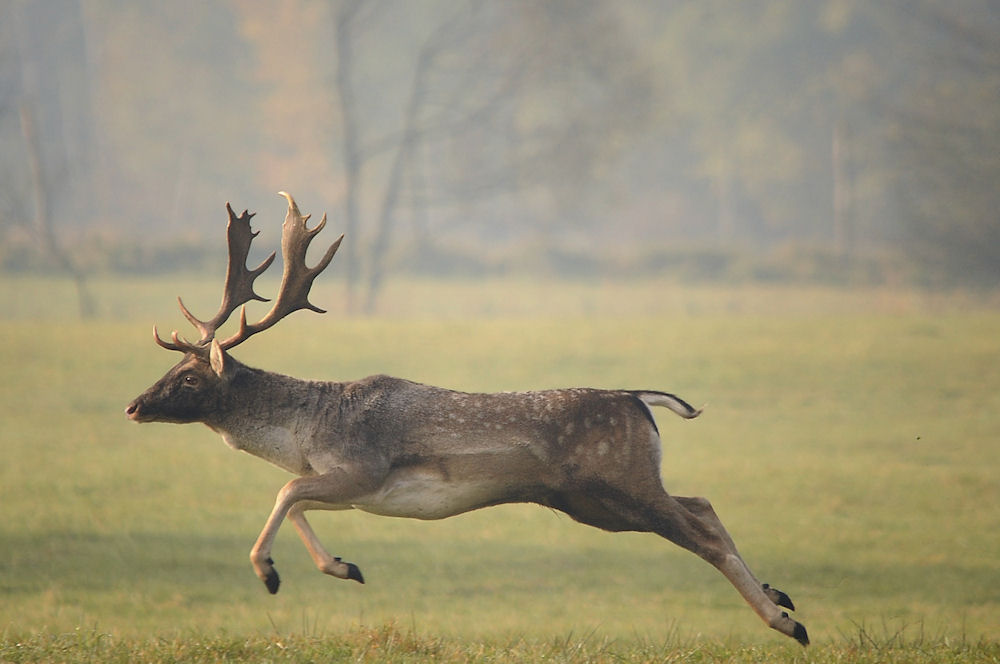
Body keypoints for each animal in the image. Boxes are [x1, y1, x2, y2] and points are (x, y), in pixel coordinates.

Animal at [125, 192, 808, 644]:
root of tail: (640, 399)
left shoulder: (362, 468)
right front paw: (344, 566)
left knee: (700, 531)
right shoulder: (354, 487)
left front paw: (269, 574)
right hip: (602, 499)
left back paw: (785, 622)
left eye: (190, 378)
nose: (133, 405)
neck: (308, 430)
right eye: (172, 368)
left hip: (616, 485)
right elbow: (297, 501)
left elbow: (285, 490)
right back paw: (781, 595)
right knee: (703, 504)